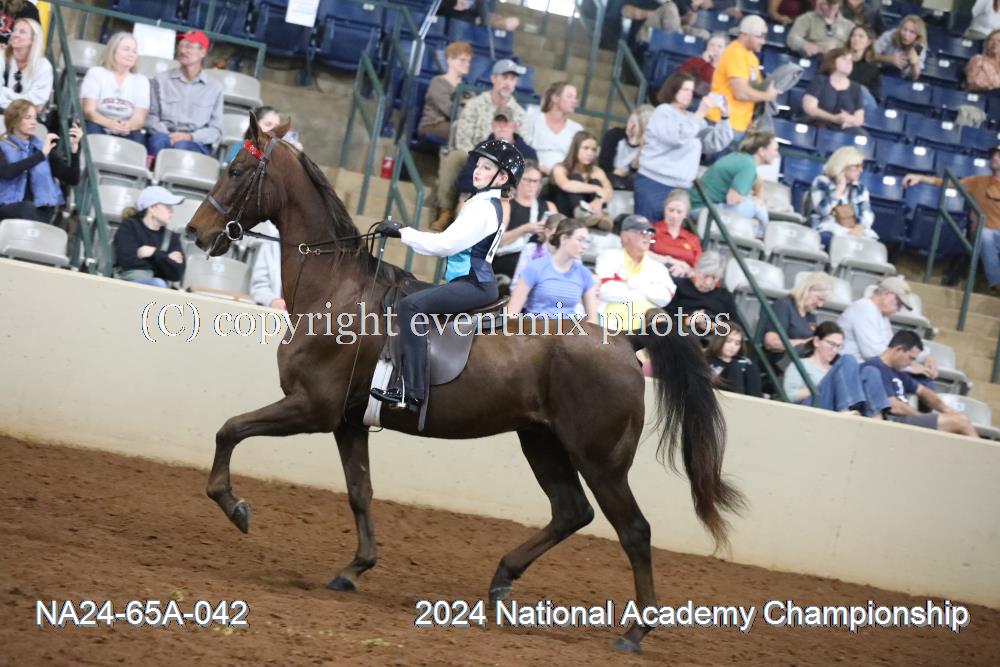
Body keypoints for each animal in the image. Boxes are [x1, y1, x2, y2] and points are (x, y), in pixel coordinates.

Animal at [185, 115, 744, 652]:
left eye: (237, 170)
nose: (194, 231)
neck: (337, 293)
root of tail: (624, 342)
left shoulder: (311, 408)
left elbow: (229, 429)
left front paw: (235, 507)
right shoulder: (348, 423)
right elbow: (359, 491)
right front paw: (354, 568)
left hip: (600, 460)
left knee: (633, 531)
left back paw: (635, 631)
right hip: (542, 442)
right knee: (571, 512)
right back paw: (502, 581)